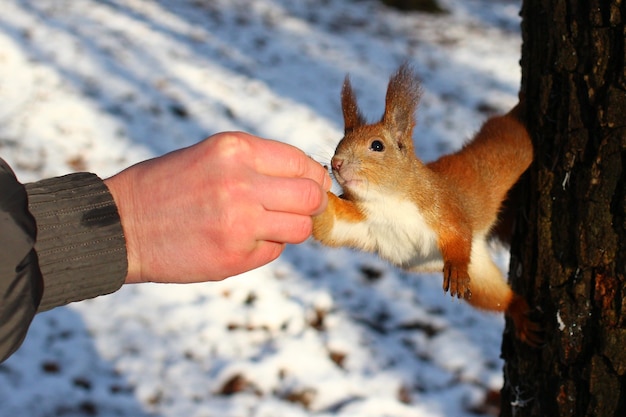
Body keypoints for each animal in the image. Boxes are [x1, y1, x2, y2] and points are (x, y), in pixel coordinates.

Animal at [312, 64, 540, 344]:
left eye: (377, 145)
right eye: (338, 144)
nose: (336, 163)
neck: (388, 202)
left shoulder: (442, 206)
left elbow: (458, 232)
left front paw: (455, 267)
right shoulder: (363, 221)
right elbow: (330, 228)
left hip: (510, 149)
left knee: (513, 130)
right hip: (480, 281)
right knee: (498, 299)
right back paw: (519, 312)